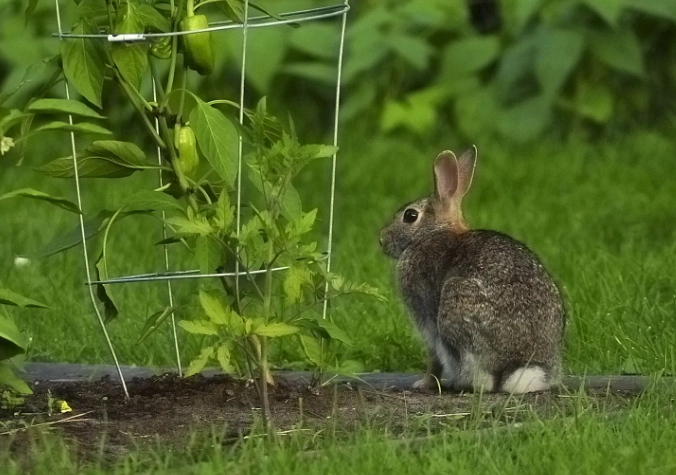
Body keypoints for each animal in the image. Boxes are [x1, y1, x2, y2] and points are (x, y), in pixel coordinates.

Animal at [379, 146, 566, 393]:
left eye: (410, 216)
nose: (382, 241)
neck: (433, 233)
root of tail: (517, 366)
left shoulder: (427, 319)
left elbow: (434, 358)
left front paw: (423, 383)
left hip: (455, 307)